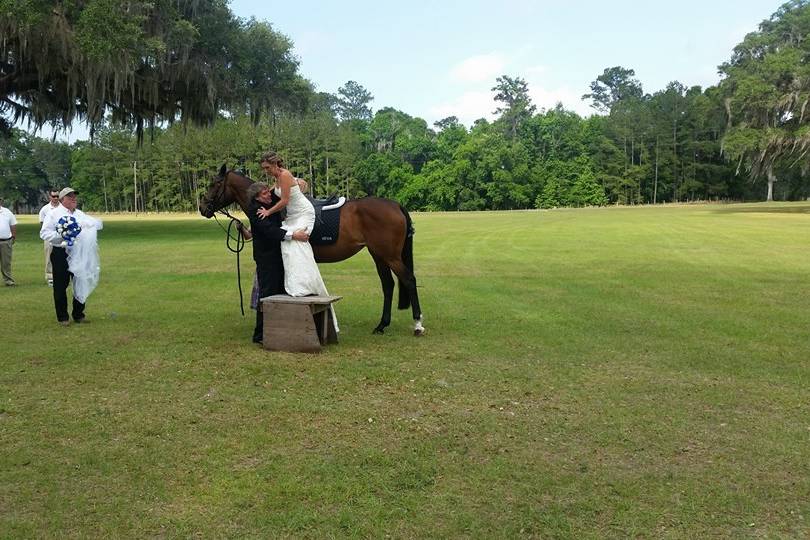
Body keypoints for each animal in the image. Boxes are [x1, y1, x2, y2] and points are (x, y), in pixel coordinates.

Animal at [197, 165, 422, 336]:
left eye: (215, 184)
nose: (203, 207)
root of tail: (395, 205)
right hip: (379, 255)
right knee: (388, 285)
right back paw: (382, 325)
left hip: (390, 256)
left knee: (409, 280)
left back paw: (418, 325)